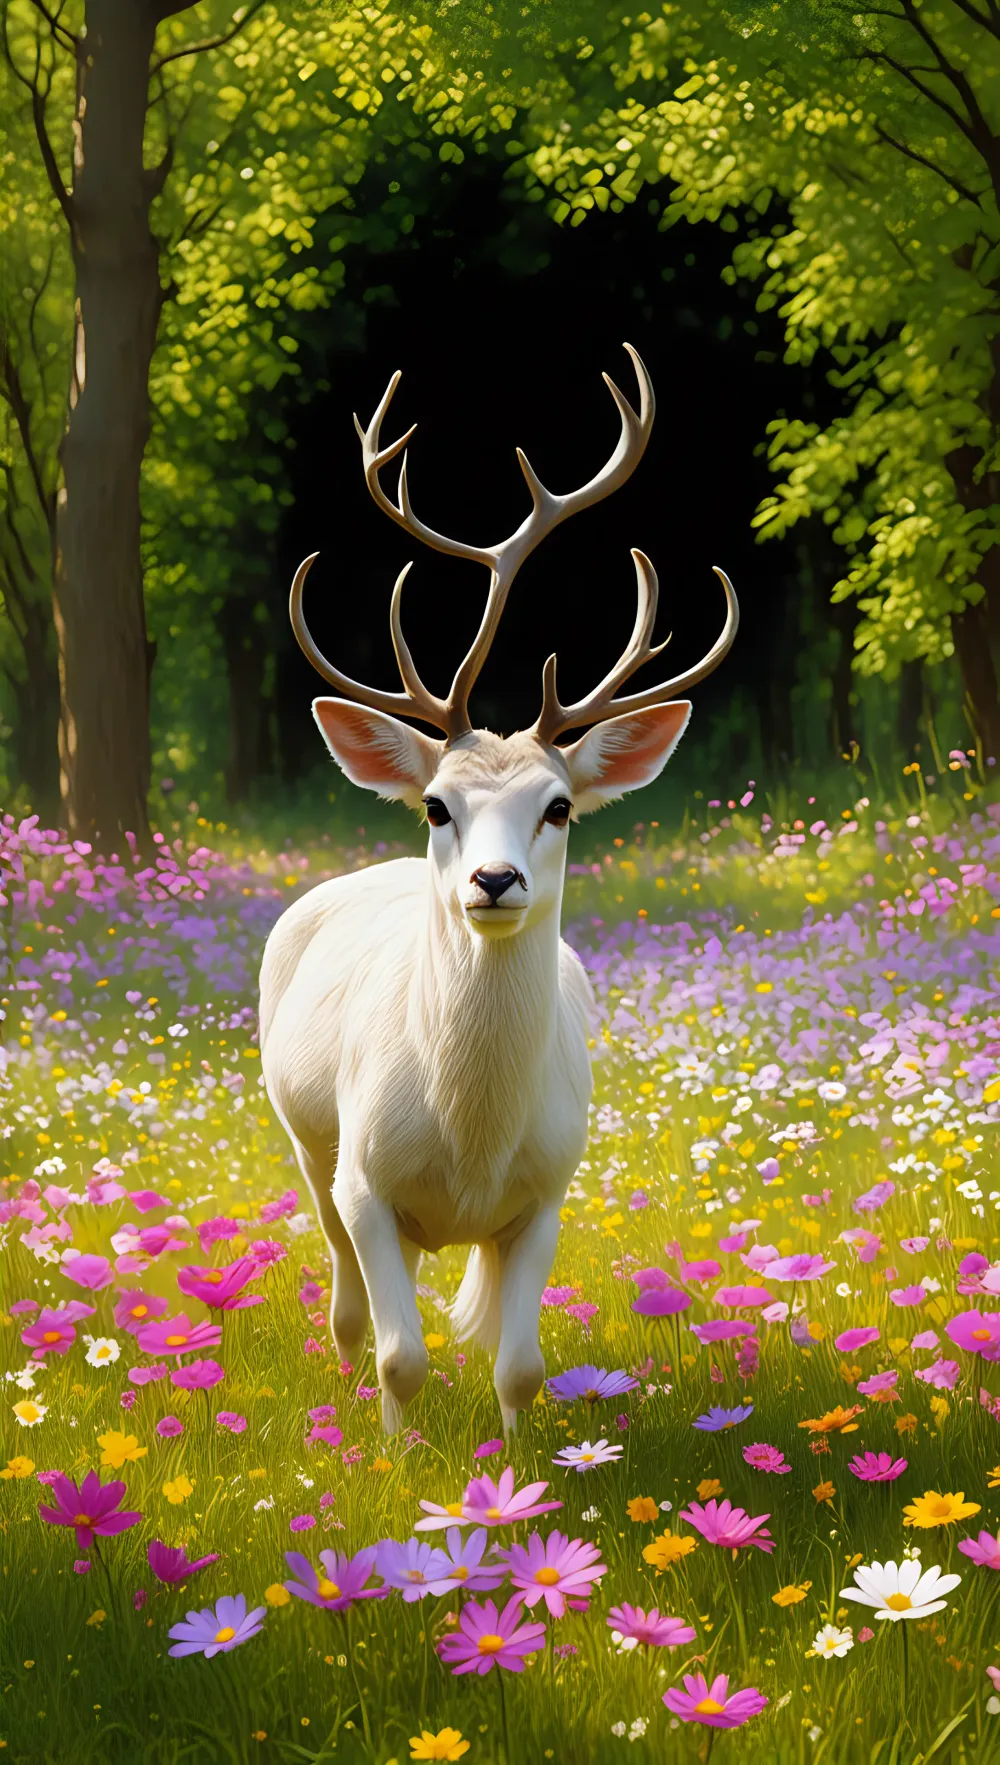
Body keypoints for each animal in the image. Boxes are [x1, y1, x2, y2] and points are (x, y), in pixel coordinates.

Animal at [259, 344, 738, 1434]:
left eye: (559, 806)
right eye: (437, 803)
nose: (492, 877)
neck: (468, 1138)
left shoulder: (551, 1189)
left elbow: (518, 1365)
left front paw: (519, 1462)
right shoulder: (362, 1176)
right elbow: (400, 1354)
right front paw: (392, 1458)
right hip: (302, 1138)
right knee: (344, 1305)